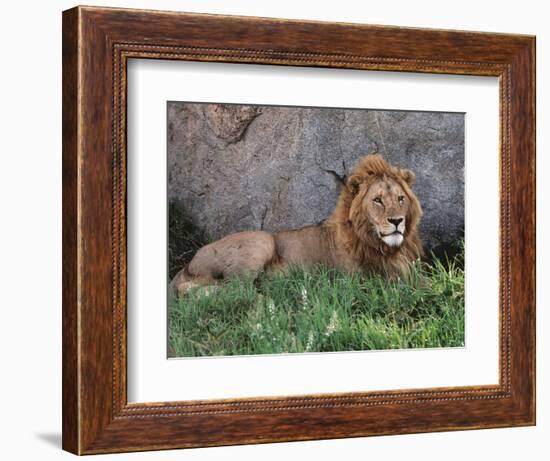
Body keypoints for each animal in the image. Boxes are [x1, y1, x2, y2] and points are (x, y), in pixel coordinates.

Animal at [172, 153, 422, 296]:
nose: (397, 221)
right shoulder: (363, 280)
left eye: (400, 199)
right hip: (261, 241)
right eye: (377, 200)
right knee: (232, 291)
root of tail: (189, 263)